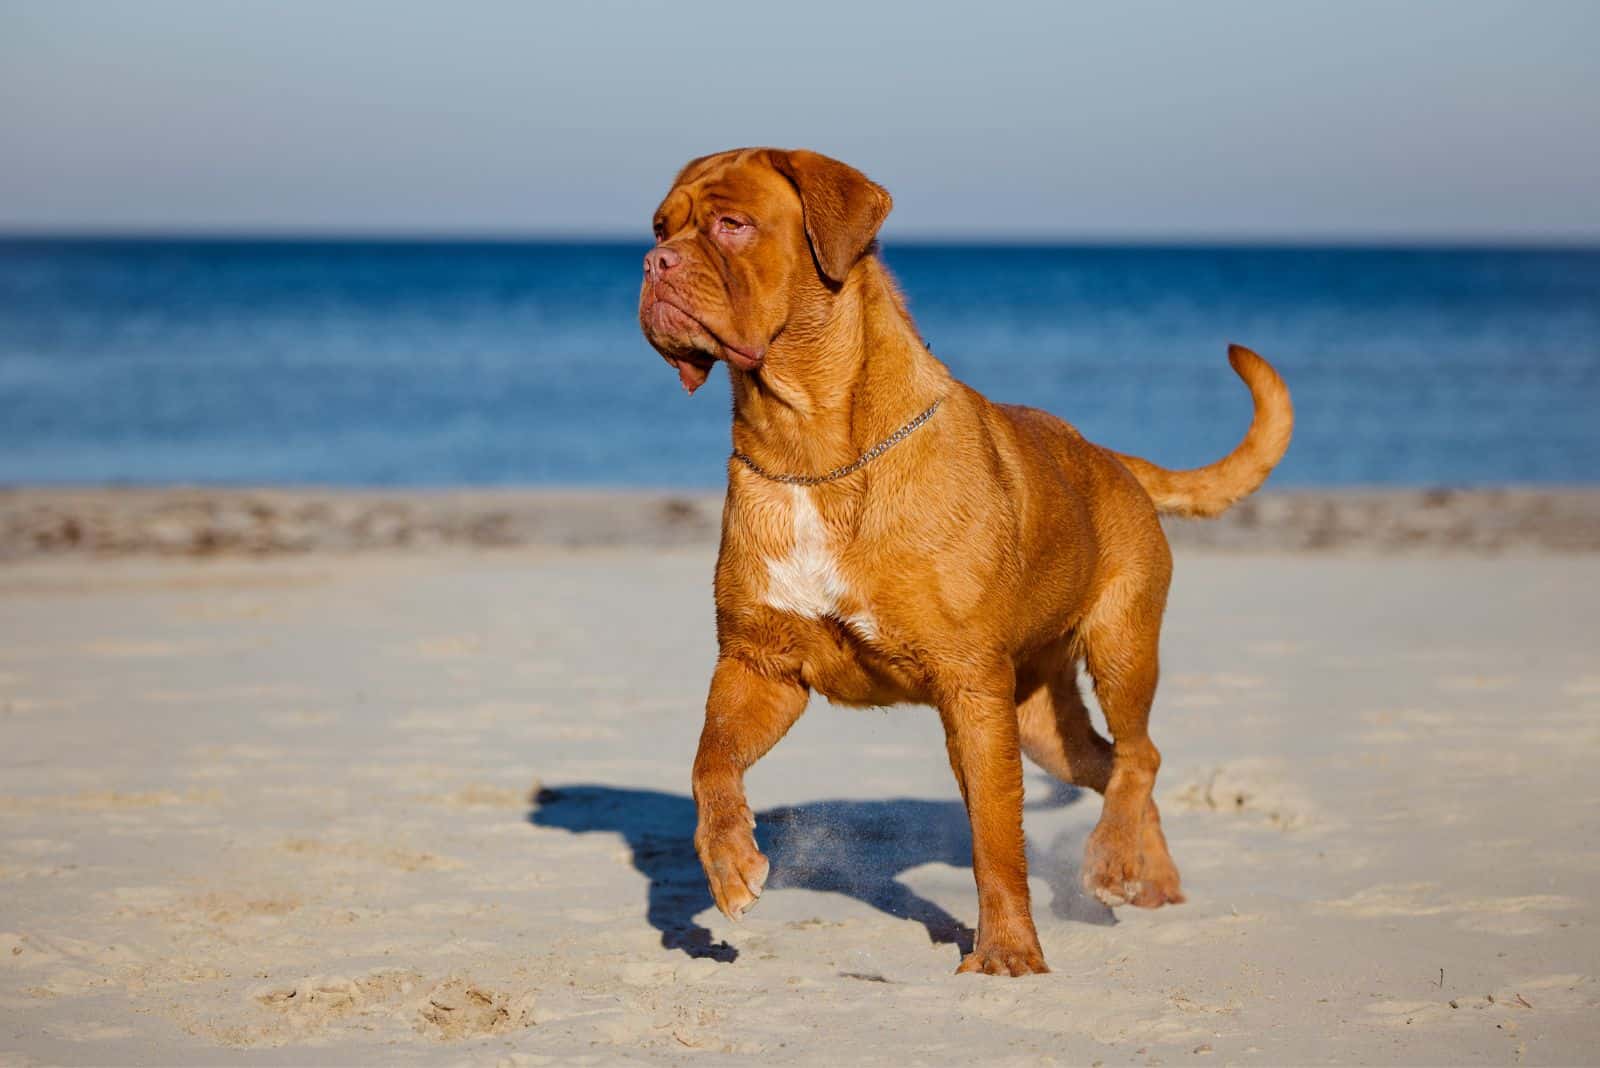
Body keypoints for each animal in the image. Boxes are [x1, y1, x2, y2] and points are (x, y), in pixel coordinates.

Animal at [633, 150, 1286, 978]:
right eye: (661, 227)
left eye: (731, 224)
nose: (654, 262)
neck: (807, 446)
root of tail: (1113, 458)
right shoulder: (759, 665)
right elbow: (711, 760)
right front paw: (728, 865)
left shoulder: (972, 691)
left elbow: (995, 842)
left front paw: (1007, 953)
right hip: (1042, 722)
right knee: (1114, 766)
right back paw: (1153, 877)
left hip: (1121, 646)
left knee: (1141, 752)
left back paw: (1111, 862)